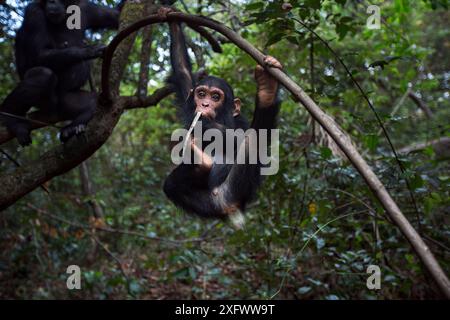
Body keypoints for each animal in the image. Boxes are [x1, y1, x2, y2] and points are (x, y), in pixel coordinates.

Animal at [0, 0, 123, 146]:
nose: (52, 2)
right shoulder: (34, 13)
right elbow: (40, 53)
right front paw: (90, 49)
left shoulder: (87, 8)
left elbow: (116, 15)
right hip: (44, 101)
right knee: (42, 75)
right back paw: (11, 119)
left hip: (64, 101)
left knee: (91, 101)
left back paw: (71, 129)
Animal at [160, 8, 284, 226]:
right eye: (201, 94)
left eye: (215, 97)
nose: (205, 104)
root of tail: (230, 205)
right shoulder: (188, 94)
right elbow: (183, 70)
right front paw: (173, 19)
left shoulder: (238, 122)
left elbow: (241, 137)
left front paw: (203, 124)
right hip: (213, 202)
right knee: (171, 184)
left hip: (235, 186)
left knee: (253, 140)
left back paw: (267, 89)